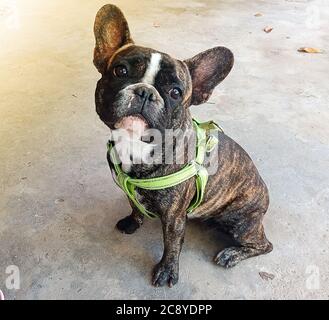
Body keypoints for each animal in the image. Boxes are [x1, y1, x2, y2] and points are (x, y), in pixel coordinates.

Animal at [92, 3, 272, 286]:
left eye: (175, 92)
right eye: (120, 71)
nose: (145, 91)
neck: (136, 144)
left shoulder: (174, 216)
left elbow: (172, 243)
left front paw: (167, 271)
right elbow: (134, 205)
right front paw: (133, 222)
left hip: (239, 221)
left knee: (264, 245)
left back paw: (231, 254)